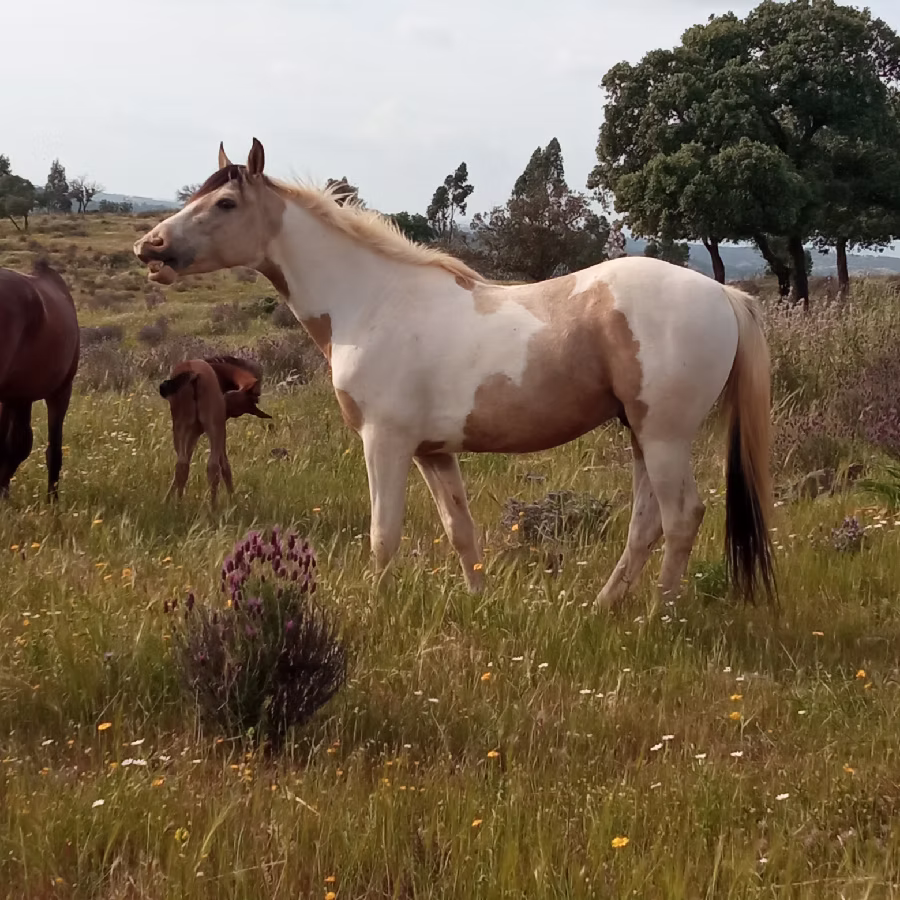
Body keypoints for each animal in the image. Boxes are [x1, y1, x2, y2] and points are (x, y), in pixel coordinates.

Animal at [158, 355, 271, 506]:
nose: (226, 413)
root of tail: (194, 374)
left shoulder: (194, 432)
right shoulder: (211, 430)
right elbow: (225, 466)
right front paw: (233, 501)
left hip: (181, 427)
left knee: (183, 465)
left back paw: (180, 505)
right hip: (215, 428)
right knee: (212, 467)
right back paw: (213, 507)